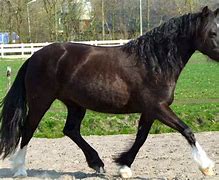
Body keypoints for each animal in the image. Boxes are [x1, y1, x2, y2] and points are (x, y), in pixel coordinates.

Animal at [0, 6, 219, 178]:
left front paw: (124, 167)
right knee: (28, 129)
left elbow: (141, 138)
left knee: (70, 130)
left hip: (75, 104)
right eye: (213, 33)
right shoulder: (158, 108)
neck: (153, 62)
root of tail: (34, 56)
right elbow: (187, 130)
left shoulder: (149, 111)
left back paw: (97, 163)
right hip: (41, 102)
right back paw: (20, 169)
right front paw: (206, 167)